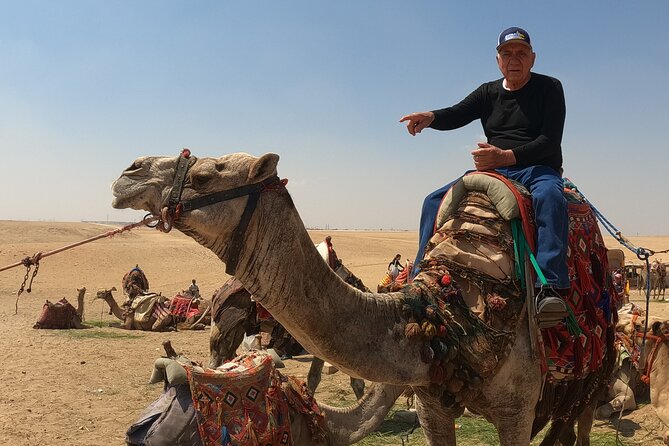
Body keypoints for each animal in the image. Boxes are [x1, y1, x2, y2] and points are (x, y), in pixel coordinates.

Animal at [112, 151, 616, 445]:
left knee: (580, 422)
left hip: (593, 373)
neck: (449, 306)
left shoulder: (517, 409)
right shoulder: (433, 404)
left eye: (202, 176)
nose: (128, 172)